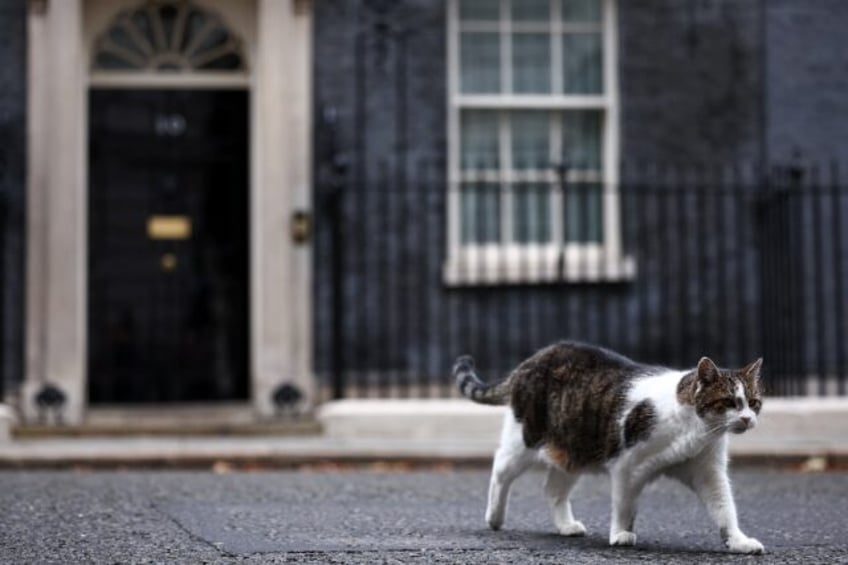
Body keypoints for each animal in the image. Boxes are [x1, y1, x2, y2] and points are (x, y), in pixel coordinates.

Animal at [454, 342, 764, 552]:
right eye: (729, 402)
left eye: (754, 402)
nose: (747, 419)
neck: (696, 431)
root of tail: (532, 359)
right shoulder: (627, 465)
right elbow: (625, 505)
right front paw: (621, 534)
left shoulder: (708, 472)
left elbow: (724, 507)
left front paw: (738, 541)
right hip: (526, 440)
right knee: (500, 469)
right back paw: (494, 517)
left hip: (572, 451)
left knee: (553, 489)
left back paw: (566, 526)